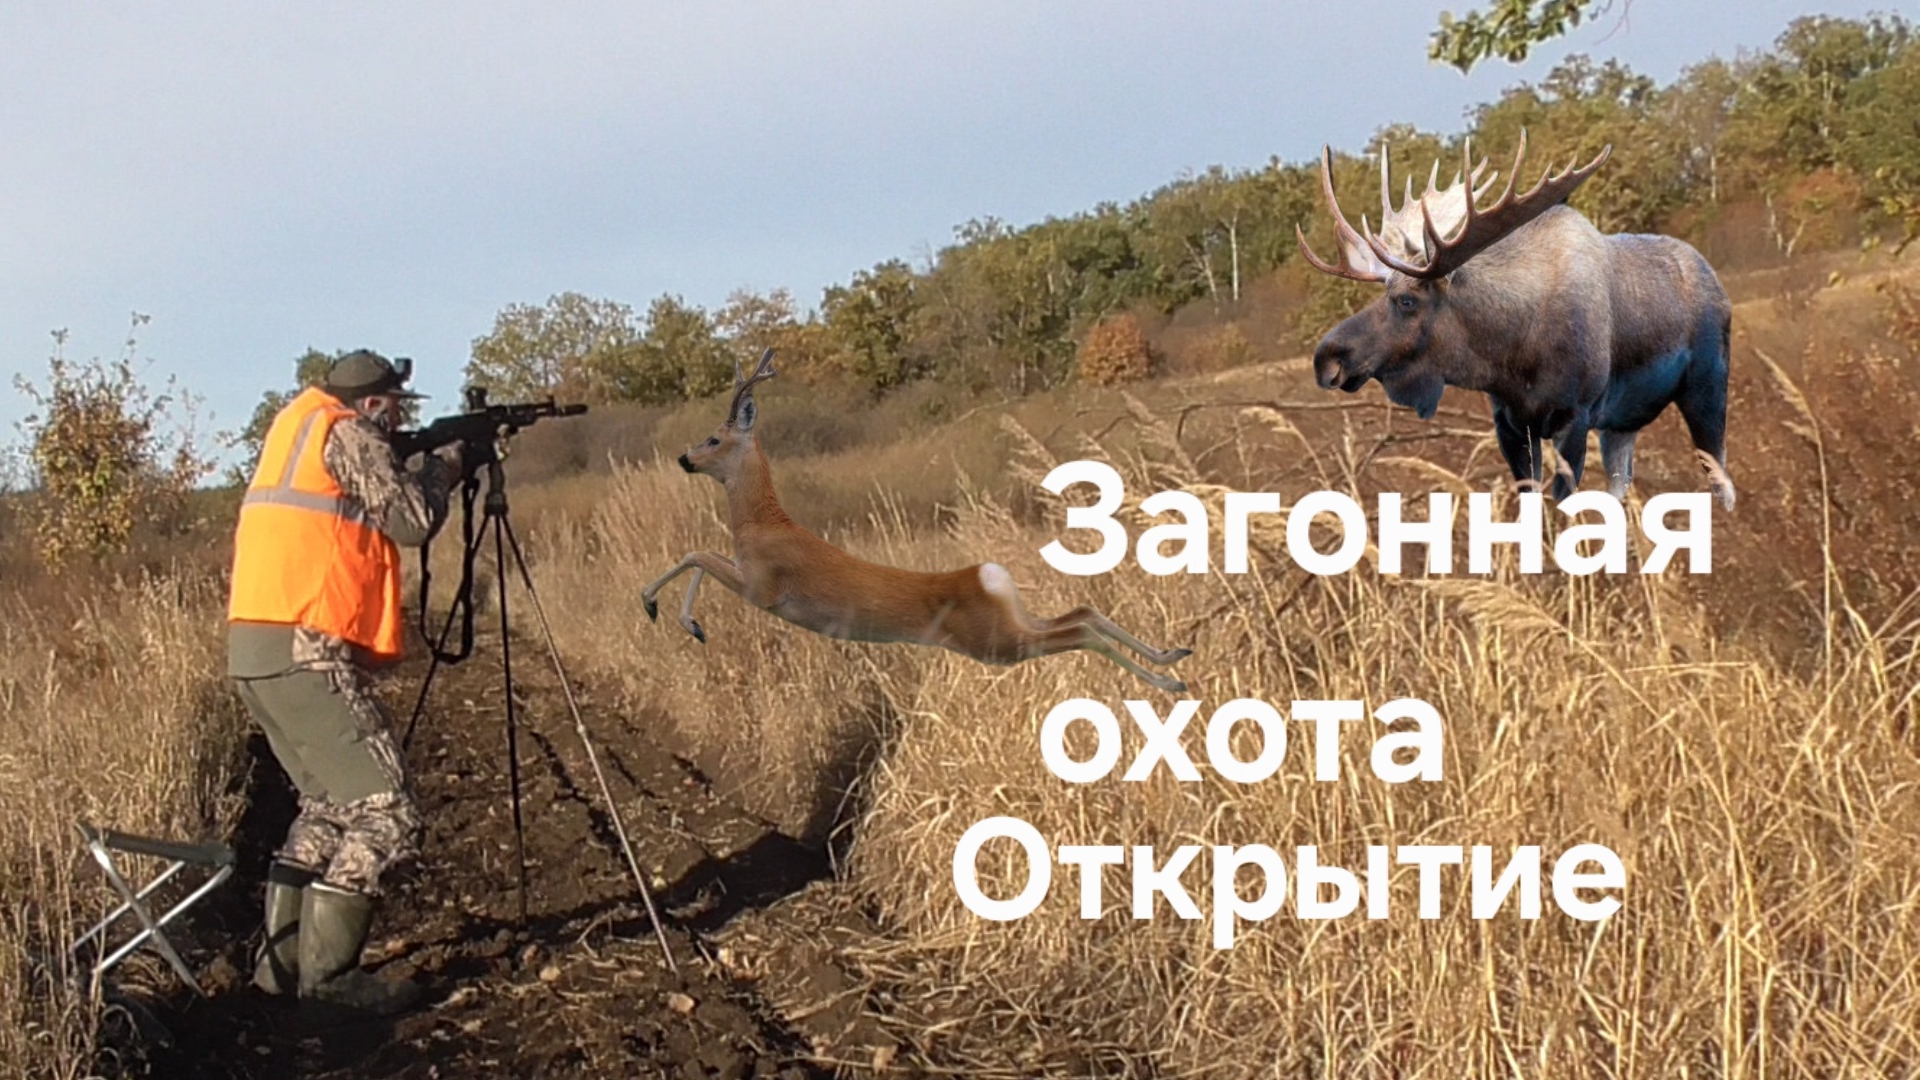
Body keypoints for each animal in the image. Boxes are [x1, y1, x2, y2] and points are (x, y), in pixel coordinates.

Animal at [639, 349, 1195, 693]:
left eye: (714, 438)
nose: (684, 458)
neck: (761, 522)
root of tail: (988, 576)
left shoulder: (764, 587)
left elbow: (697, 554)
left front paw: (663, 610)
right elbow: (700, 556)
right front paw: (687, 622)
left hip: (997, 643)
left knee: (1081, 631)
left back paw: (1170, 680)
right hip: (1014, 624)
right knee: (1083, 611)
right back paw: (1175, 657)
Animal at [1295, 129, 1736, 511]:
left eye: (1406, 301)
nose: (1326, 358)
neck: (1513, 356)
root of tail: (1714, 277)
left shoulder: (1574, 417)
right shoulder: (1510, 423)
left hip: (1707, 387)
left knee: (1721, 478)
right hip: (1623, 422)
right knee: (1621, 482)